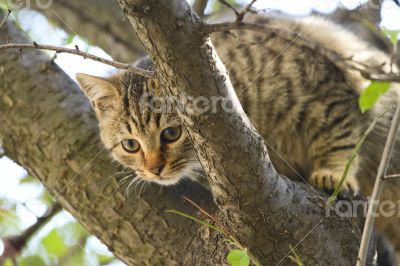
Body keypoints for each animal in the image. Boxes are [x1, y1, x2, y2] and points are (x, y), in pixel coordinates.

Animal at [76, 13, 400, 251]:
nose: (154, 170)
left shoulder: (329, 90)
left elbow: (339, 135)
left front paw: (333, 172)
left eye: (171, 134)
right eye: (130, 145)